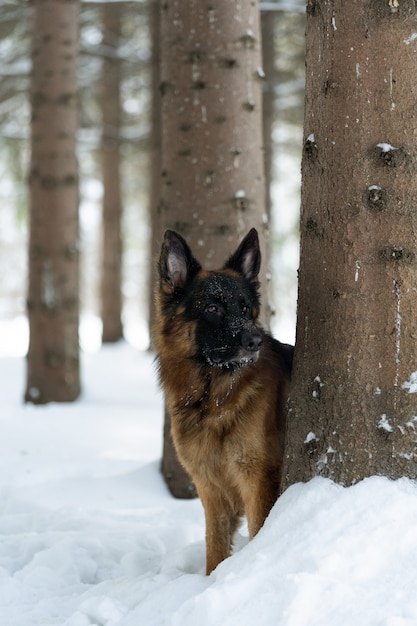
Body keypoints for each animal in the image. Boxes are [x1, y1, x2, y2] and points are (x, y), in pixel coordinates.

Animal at [153, 227, 292, 572]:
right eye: (212, 309)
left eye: (244, 308)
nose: (254, 341)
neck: (212, 400)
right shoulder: (212, 490)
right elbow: (214, 549)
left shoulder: (258, 482)